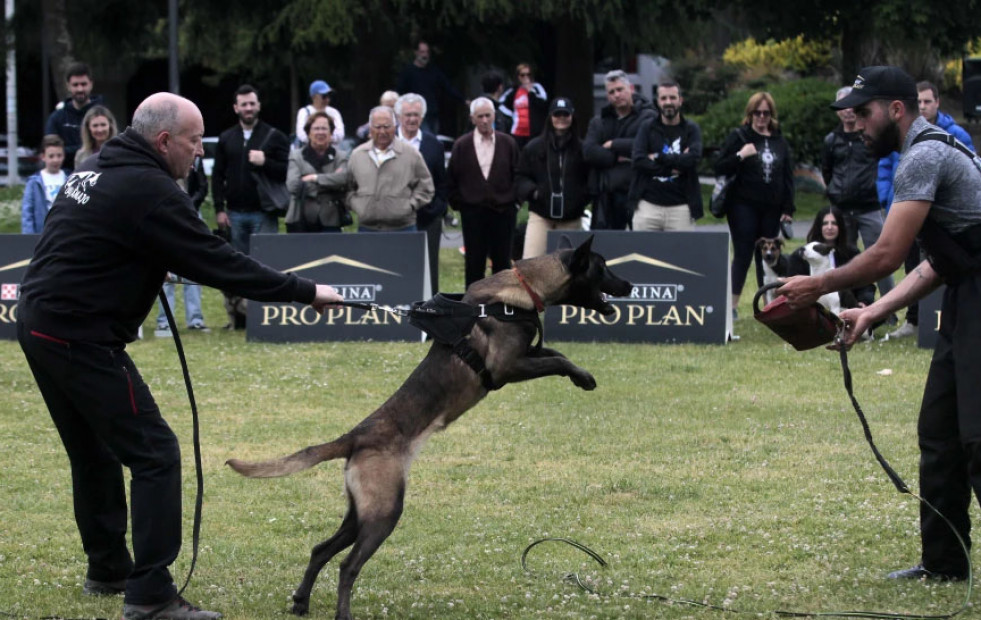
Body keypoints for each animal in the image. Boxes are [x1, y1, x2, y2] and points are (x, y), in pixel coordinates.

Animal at [226, 235, 632, 616]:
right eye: (602, 267)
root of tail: (355, 436)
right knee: (347, 566)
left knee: (319, 549)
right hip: (384, 512)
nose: (628, 285)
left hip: (360, 514)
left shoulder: (526, 355)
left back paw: (301, 601)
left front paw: (581, 375)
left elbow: (556, 353)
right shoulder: (508, 366)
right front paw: (583, 377)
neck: (521, 289)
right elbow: (558, 360)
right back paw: (342, 612)